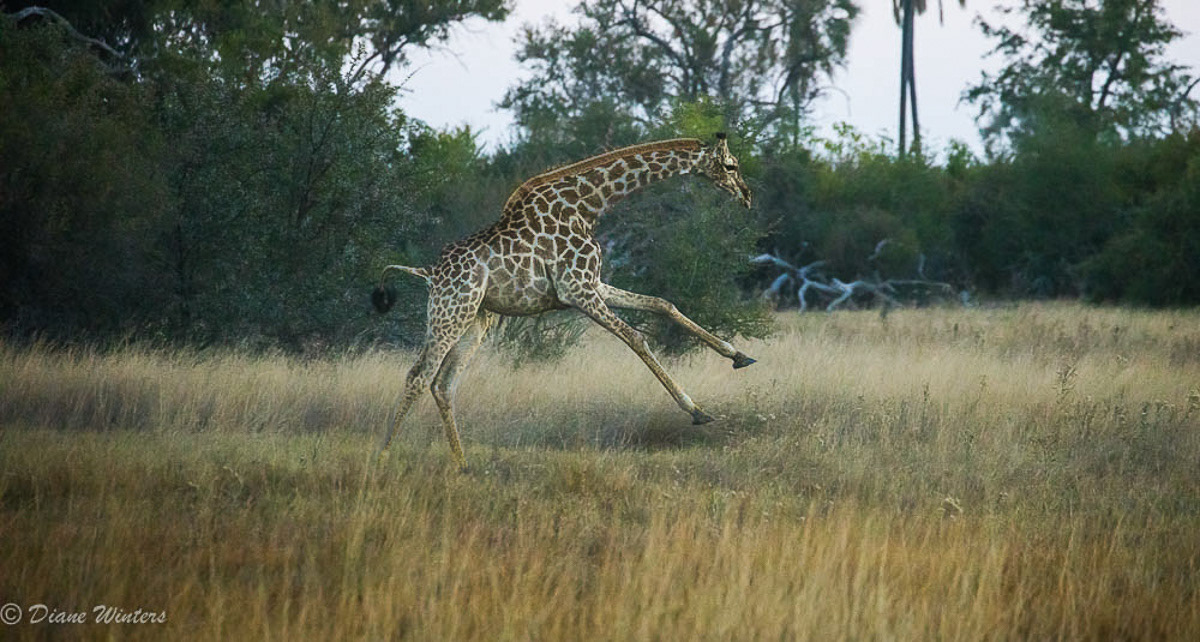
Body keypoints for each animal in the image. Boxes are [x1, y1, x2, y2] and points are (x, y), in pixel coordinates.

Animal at [373, 133, 756, 470]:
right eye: (731, 165)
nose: (747, 196)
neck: (588, 206)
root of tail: (428, 272)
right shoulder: (578, 290)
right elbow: (636, 337)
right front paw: (697, 410)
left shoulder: (593, 284)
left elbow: (663, 304)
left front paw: (740, 356)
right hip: (450, 313)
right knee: (418, 377)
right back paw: (384, 457)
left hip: (473, 321)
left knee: (443, 384)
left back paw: (463, 465)